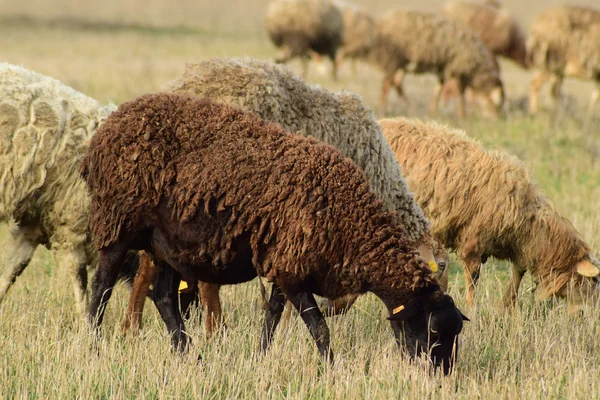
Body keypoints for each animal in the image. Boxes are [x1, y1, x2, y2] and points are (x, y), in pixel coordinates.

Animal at [380, 117, 600, 314]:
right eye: (593, 281)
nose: (585, 315)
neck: (530, 225)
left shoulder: (515, 246)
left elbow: (518, 272)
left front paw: (507, 306)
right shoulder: (472, 241)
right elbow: (473, 278)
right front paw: (472, 309)